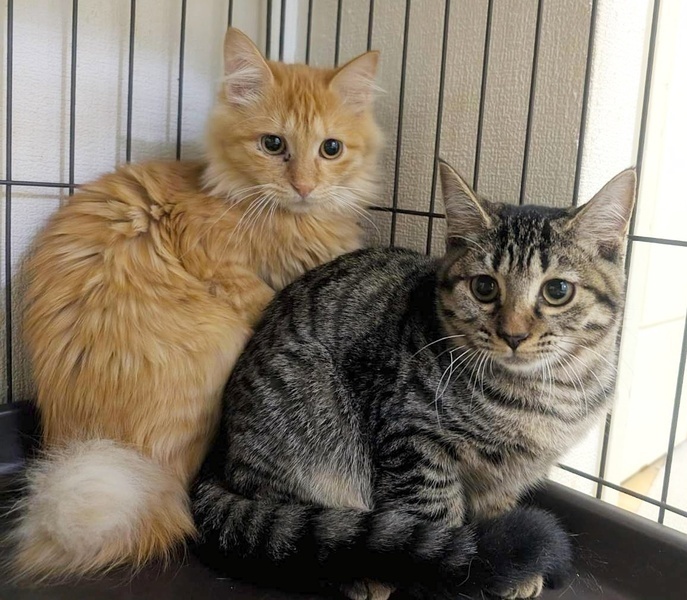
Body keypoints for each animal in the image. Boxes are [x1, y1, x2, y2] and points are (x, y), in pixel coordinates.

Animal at [190, 161, 636, 599]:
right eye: (484, 286)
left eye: (557, 290)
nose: (514, 334)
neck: (538, 397)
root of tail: (220, 458)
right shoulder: (411, 439)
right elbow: (437, 522)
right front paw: (460, 569)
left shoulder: (510, 474)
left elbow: (497, 507)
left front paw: (510, 567)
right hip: (307, 433)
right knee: (299, 524)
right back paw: (358, 567)